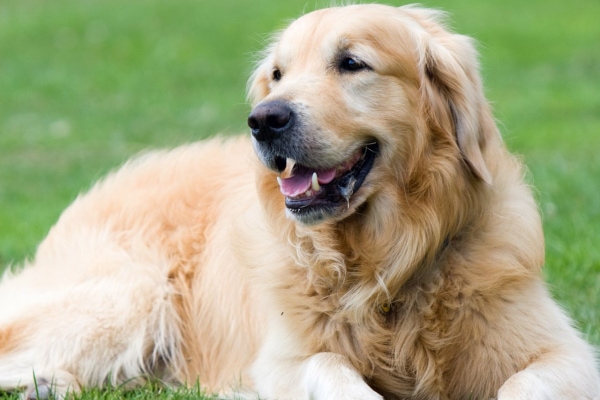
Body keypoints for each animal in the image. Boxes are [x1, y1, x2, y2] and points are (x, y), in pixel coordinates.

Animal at [1, 3, 600, 400]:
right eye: (277, 75)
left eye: (352, 63)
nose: (264, 119)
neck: (386, 263)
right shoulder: (284, 360)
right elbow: (330, 370)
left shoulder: (566, 354)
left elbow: (525, 385)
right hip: (132, 299)